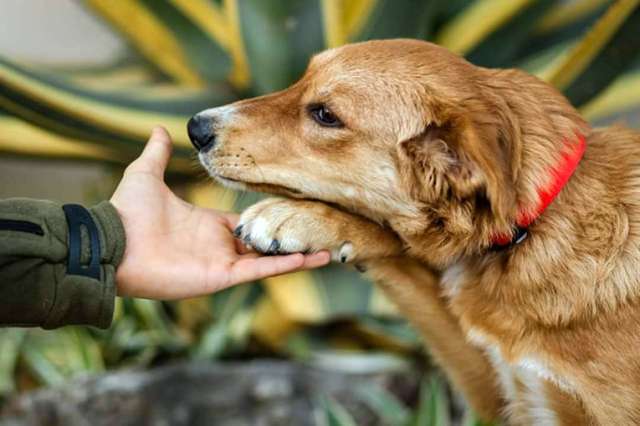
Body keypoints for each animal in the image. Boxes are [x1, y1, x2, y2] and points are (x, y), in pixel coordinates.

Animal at [188, 38, 640, 424]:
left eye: (325, 115)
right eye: (301, 80)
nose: (195, 128)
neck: (539, 225)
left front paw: (296, 217)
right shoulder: (498, 392)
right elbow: (398, 253)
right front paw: (312, 222)